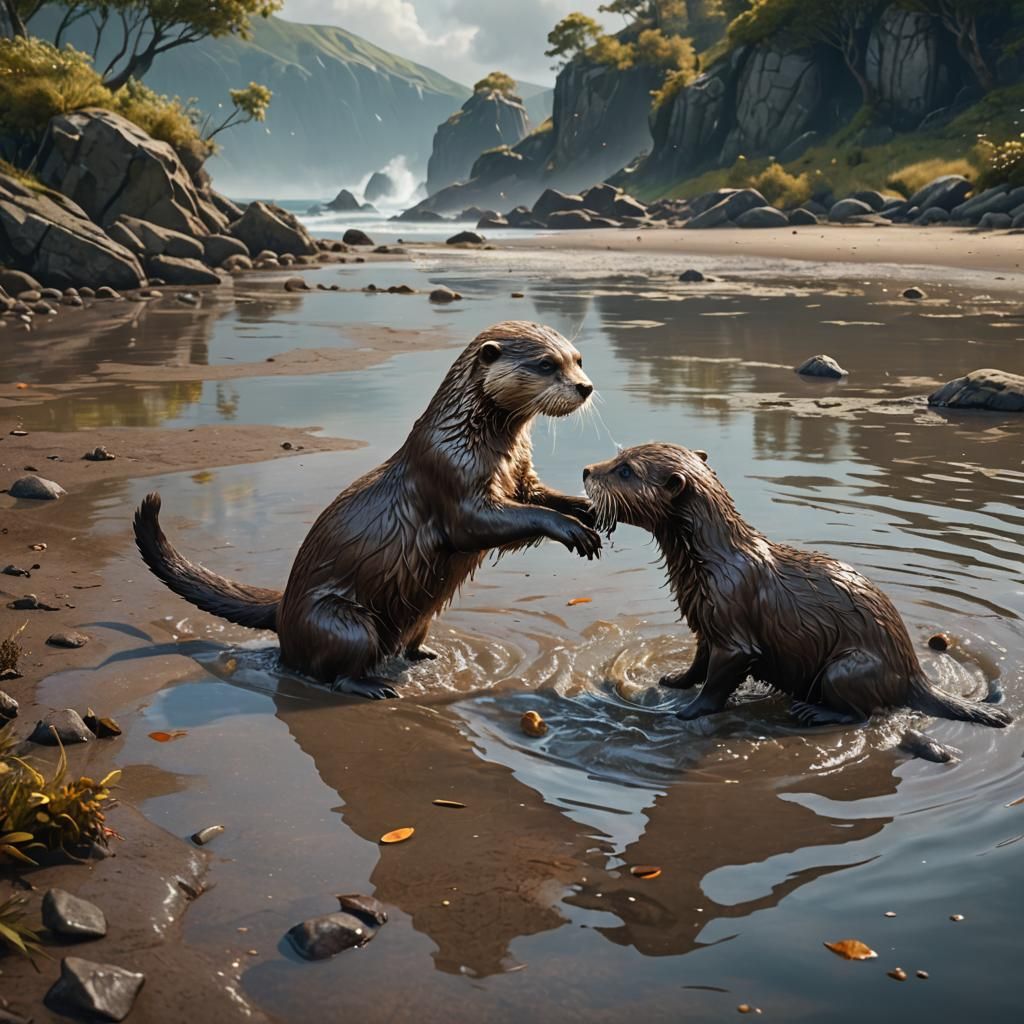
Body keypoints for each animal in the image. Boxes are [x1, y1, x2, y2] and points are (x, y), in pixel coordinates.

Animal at [135, 321, 601, 699]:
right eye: (546, 364)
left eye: (578, 359)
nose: (585, 387)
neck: (472, 441)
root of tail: (283, 608)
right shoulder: (450, 479)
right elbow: (481, 524)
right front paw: (572, 529)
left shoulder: (520, 475)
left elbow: (538, 495)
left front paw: (588, 507)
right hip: (343, 621)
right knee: (334, 668)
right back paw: (371, 686)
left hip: (418, 617)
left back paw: (423, 655)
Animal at [583, 443, 1011, 728]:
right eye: (618, 457)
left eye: (625, 470)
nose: (586, 470)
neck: (713, 564)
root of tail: (911, 671)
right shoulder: (707, 621)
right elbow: (698, 663)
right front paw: (674, 680)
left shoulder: (733, 630)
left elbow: (719, 679)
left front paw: (687, 711)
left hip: (848, 668)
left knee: (865, 713)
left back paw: (813, 710)